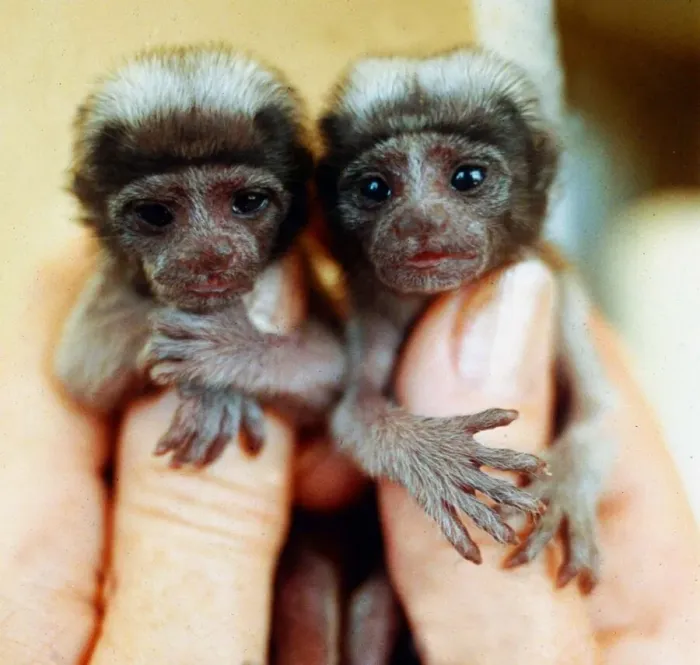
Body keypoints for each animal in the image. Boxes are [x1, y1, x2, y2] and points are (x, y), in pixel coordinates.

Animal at [54, 44, 346, 466]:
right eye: (155, 214)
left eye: (248, 202)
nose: (211, 256)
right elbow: (80, 372)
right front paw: (211, 393)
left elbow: (331, 377)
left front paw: (230, 351)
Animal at [314, 47, 617, 590]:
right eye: (375, 188)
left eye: (467, 179)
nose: (420, 221)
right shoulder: (372, 313)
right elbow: (356, 415)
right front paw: (437, 457)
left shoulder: (563, 293)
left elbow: (598, 412)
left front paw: (563, 489)